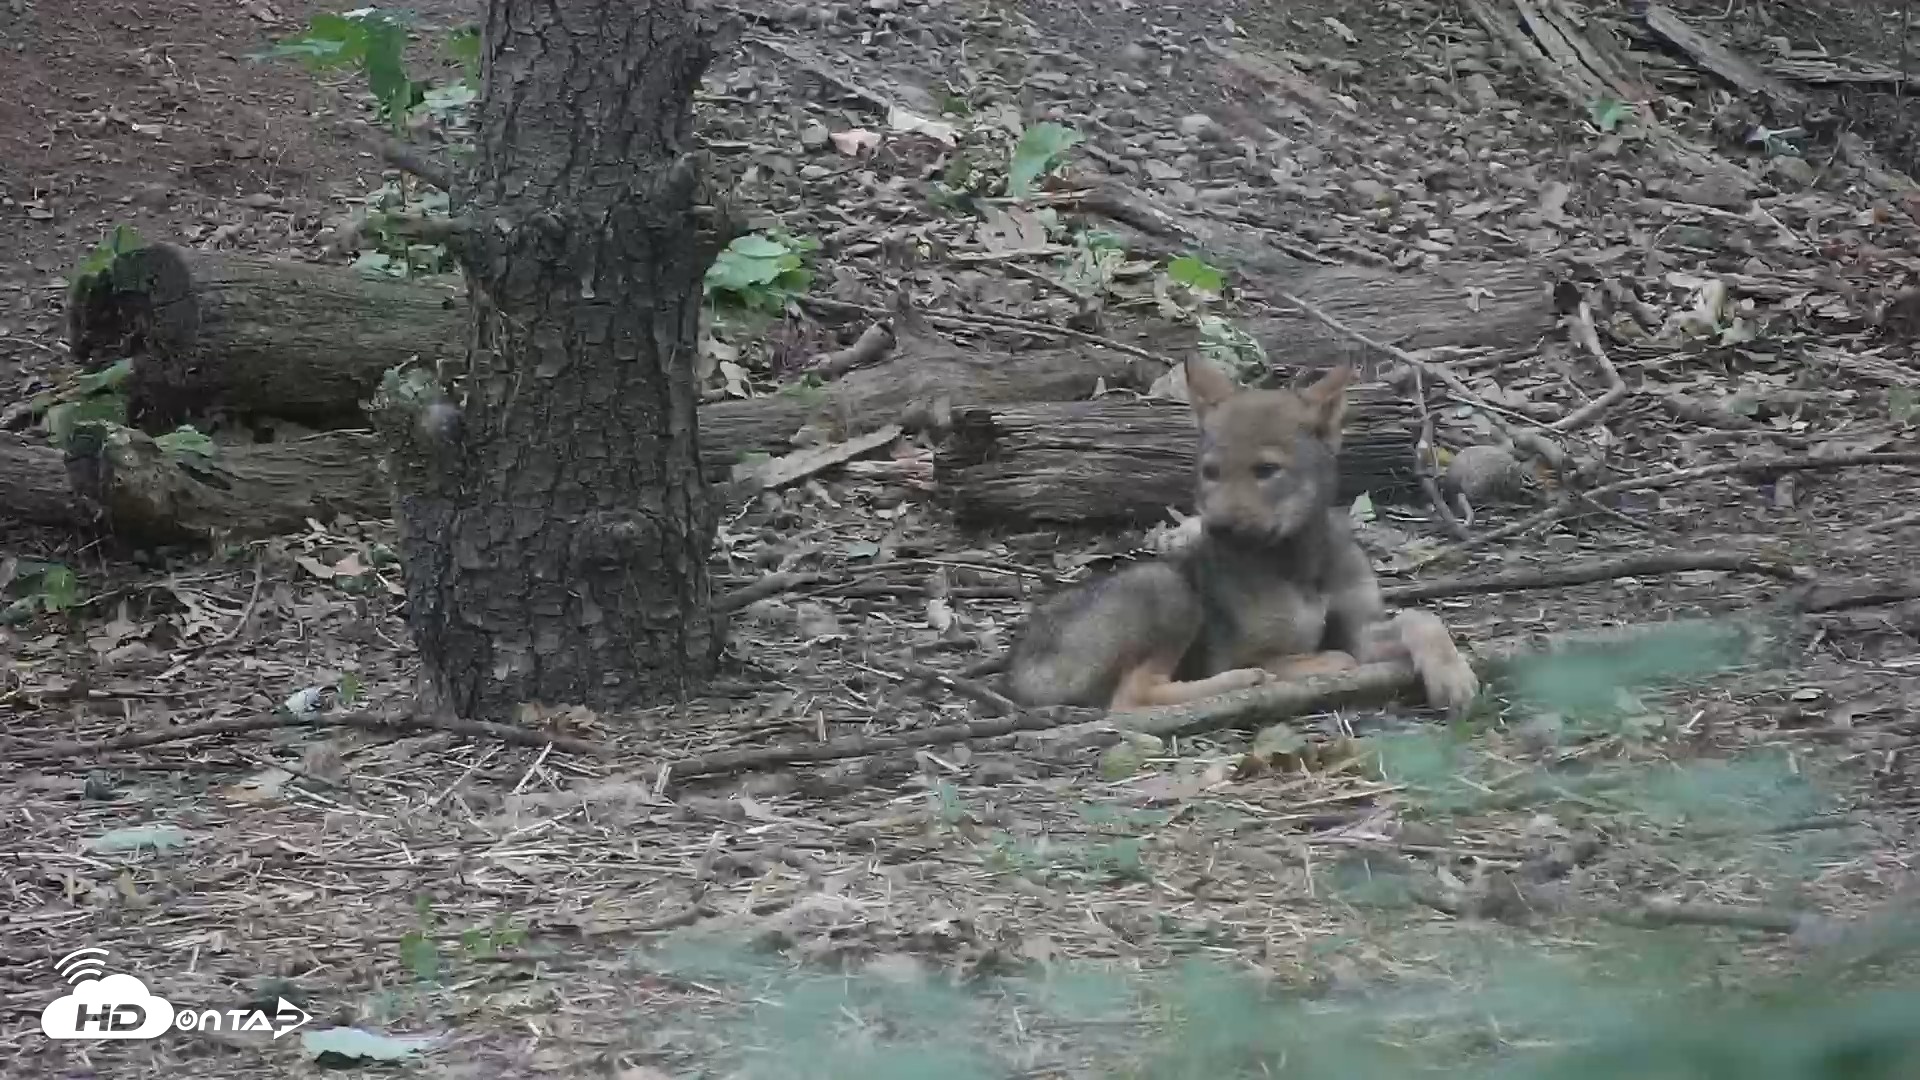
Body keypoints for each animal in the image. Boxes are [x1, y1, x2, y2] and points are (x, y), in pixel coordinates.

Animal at [1004, 358, 1479, 714]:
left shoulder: (1361, 630)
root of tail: (1018, 665)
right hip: (1166, 586)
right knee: (1130, 698)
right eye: (1210, 472)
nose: (1216, 528)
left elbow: (1421, 617)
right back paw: (1241, 681)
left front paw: (1452, 672)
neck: (1299, 566)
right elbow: (1328, 658)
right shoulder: (1241, 650)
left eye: (1266, 470)